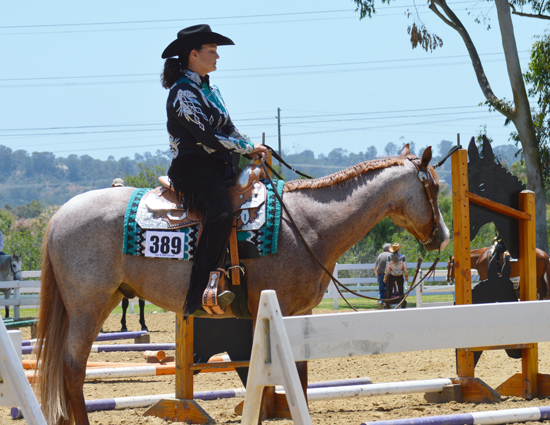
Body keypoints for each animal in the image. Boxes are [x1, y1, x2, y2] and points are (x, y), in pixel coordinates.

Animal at [34, 144, 450, 422]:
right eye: (434, 187)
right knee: (73, 367)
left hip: (102, 301)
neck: (309, 225)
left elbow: (291, 376)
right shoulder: (274, 311)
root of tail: (59, 216)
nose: (443, 237)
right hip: (87, 305)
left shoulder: (296, 315)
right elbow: (267, 378)